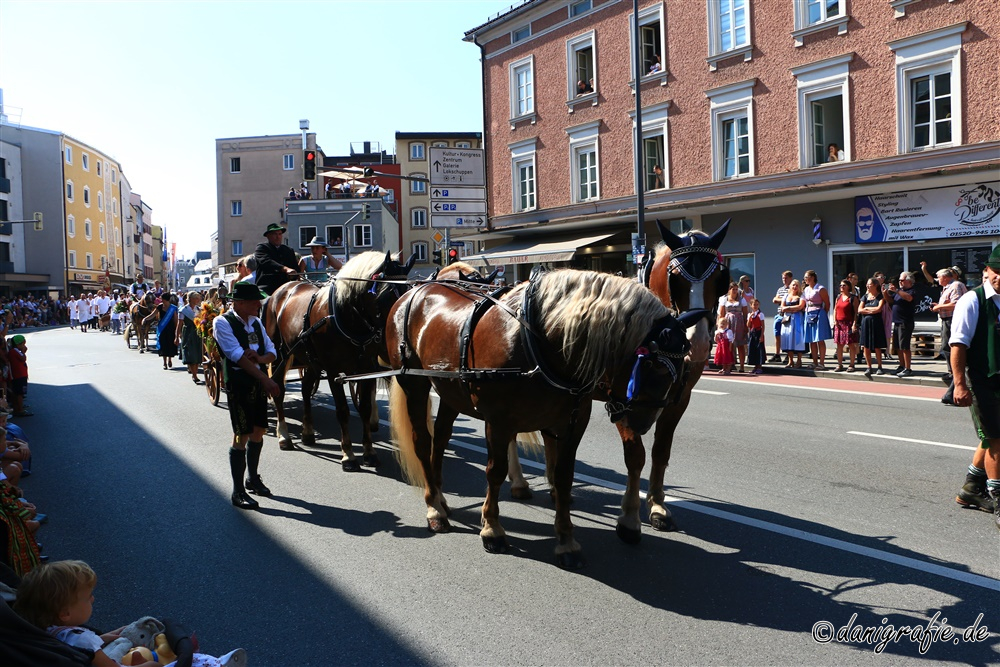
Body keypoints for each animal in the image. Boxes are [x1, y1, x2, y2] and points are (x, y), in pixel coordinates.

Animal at [386, 268, 700, 568]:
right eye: (652, 365)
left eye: (682, 368)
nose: (645, 423)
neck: (537, 341)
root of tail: (416, 289)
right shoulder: (498, 421)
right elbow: (495, 471)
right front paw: (492, 528)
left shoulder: (573, 422)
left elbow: (563, 476)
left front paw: (566, 540)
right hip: (415, 385)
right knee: (422, 442)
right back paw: (434, 508)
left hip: (450, 391)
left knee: (440, 439)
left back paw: (441, 497)